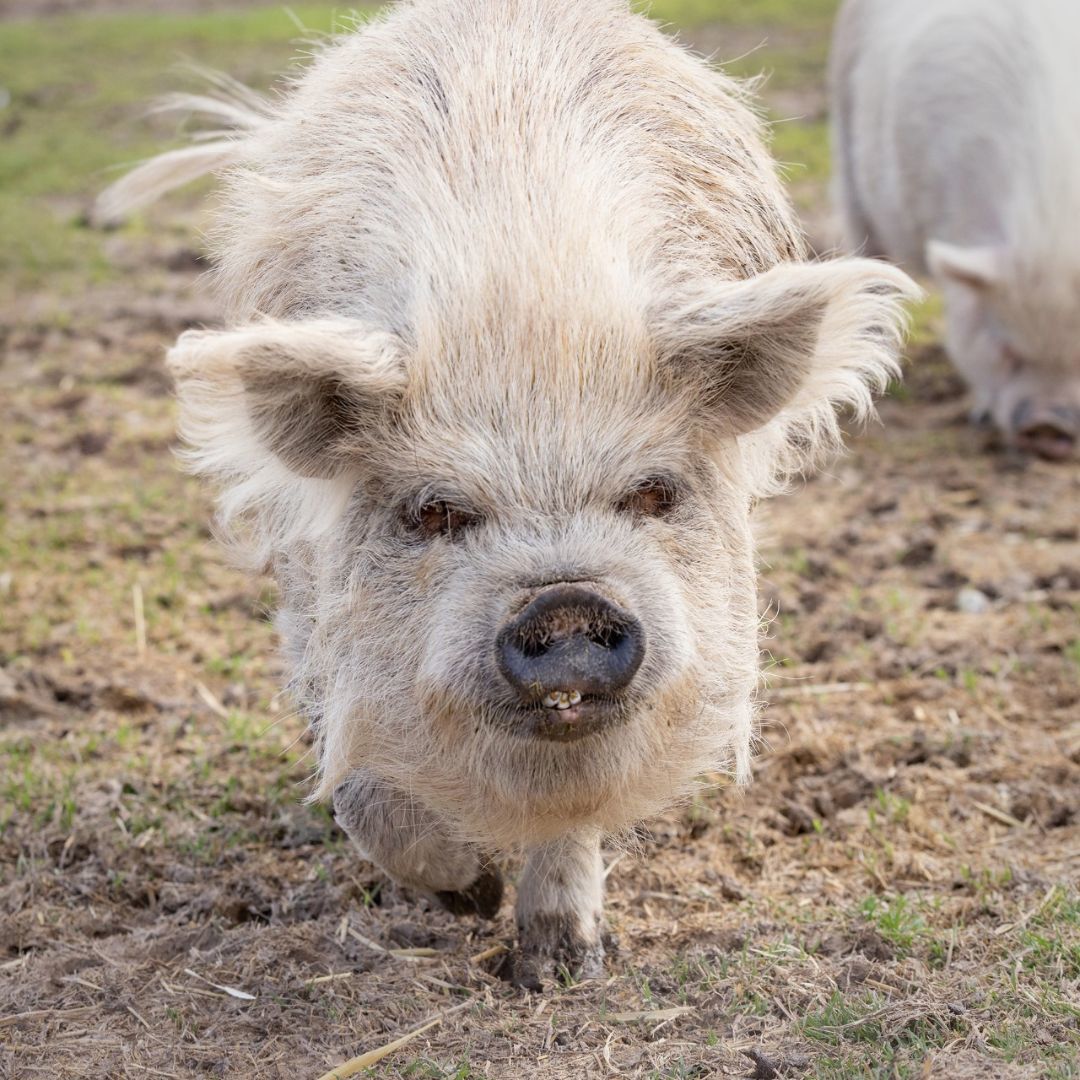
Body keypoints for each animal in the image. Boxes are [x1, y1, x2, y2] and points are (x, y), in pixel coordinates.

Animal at [99, 0, 917, 986]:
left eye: (651, 494)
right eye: (436, 512)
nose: (564, 603)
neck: (524, 317)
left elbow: (575, 817)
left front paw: (557, 966)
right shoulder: (313, 599)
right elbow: (357, 779)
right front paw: (469, 897)